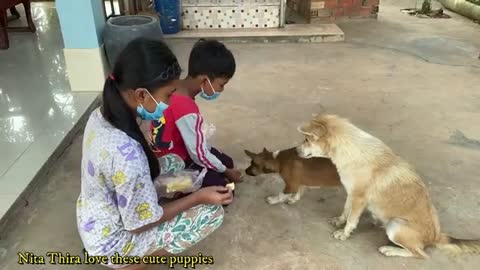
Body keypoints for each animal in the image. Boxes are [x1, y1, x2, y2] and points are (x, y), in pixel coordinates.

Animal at [296, 113, 480, 258]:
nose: (296, 151)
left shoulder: (359, 199)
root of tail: (436, 236)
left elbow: (352, 220)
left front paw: (344, 233)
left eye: (306, 139)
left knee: (420, 254)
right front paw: (339, 221)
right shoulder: (352, 193)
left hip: (395, 225)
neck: (351, 151)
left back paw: (390, 250)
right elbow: (345, 211)